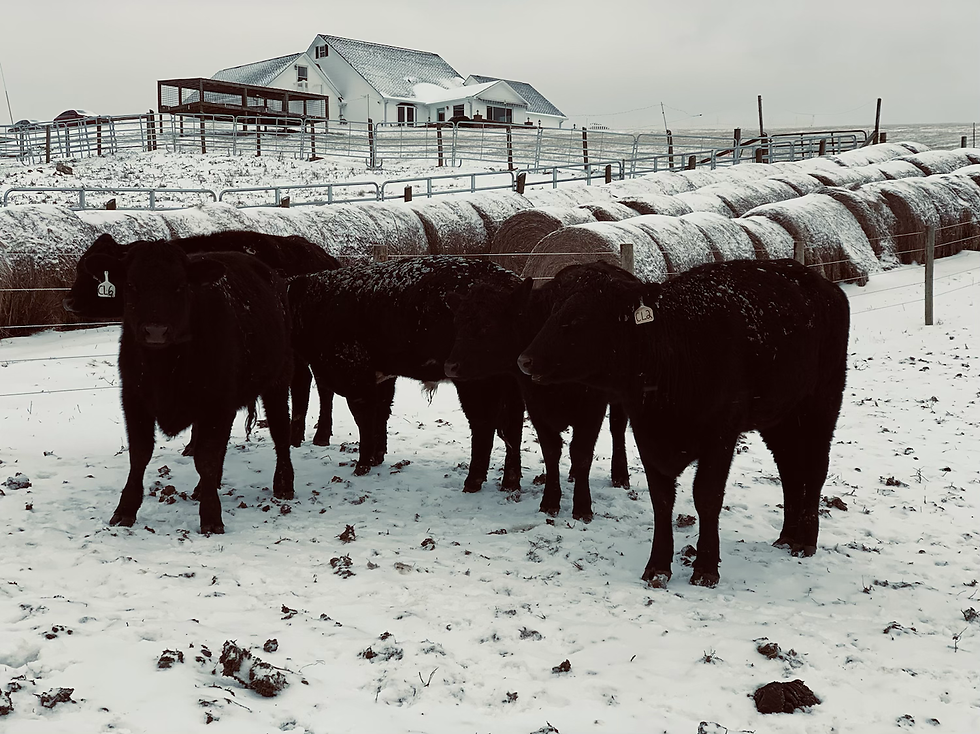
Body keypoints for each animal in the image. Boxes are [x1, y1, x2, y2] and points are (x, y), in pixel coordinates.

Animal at [63, 231, 341, 448]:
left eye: (91, 274)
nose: (68, 301)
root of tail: (325, 257)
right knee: (307, 381)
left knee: (319, 385)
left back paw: (317, 434)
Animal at [83, 239, 295, 533]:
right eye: (131, 285)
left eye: (180, 285)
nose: (156, 331)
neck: (164, 368)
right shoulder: (134, 397)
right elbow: (139, 455)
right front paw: (125, 510)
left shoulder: (217, 401)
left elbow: (206, 458)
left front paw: (211, 516)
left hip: (279, 376)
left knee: (279, 427)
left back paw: (284, 483)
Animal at [287, 255, 524, 492]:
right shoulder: (382, 378)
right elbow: (381, 413)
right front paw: (376, 457)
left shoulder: (355, 375)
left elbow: (364, 419)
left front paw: (362, 465)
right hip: (511, 383)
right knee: (513, 425)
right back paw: (510, 482)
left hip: (476, 380)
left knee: (484, 423)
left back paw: (473, 481)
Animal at [443, 271, 630, 523]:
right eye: (457, 323)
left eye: (487, 324)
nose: (450, 366)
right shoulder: (535, 405)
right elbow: (551, 452)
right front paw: (550, 502)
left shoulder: (592, 407)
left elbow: (582, 453)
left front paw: (582, 507)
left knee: (617, 428)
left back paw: (621, 475)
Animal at [518, 259, 849, 588]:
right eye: (552, 310)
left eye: (579, 318)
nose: (525, 360)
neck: (674, 348)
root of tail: (825, 286)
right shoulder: (647, 433)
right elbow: (662, 499)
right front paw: (658, 566)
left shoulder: (721, 435)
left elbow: (707, 496)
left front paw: (705, 567)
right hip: (780, 418)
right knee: (790, 471)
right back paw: (786, 536)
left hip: (822, 406)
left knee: (815, 470)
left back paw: (805, 541)